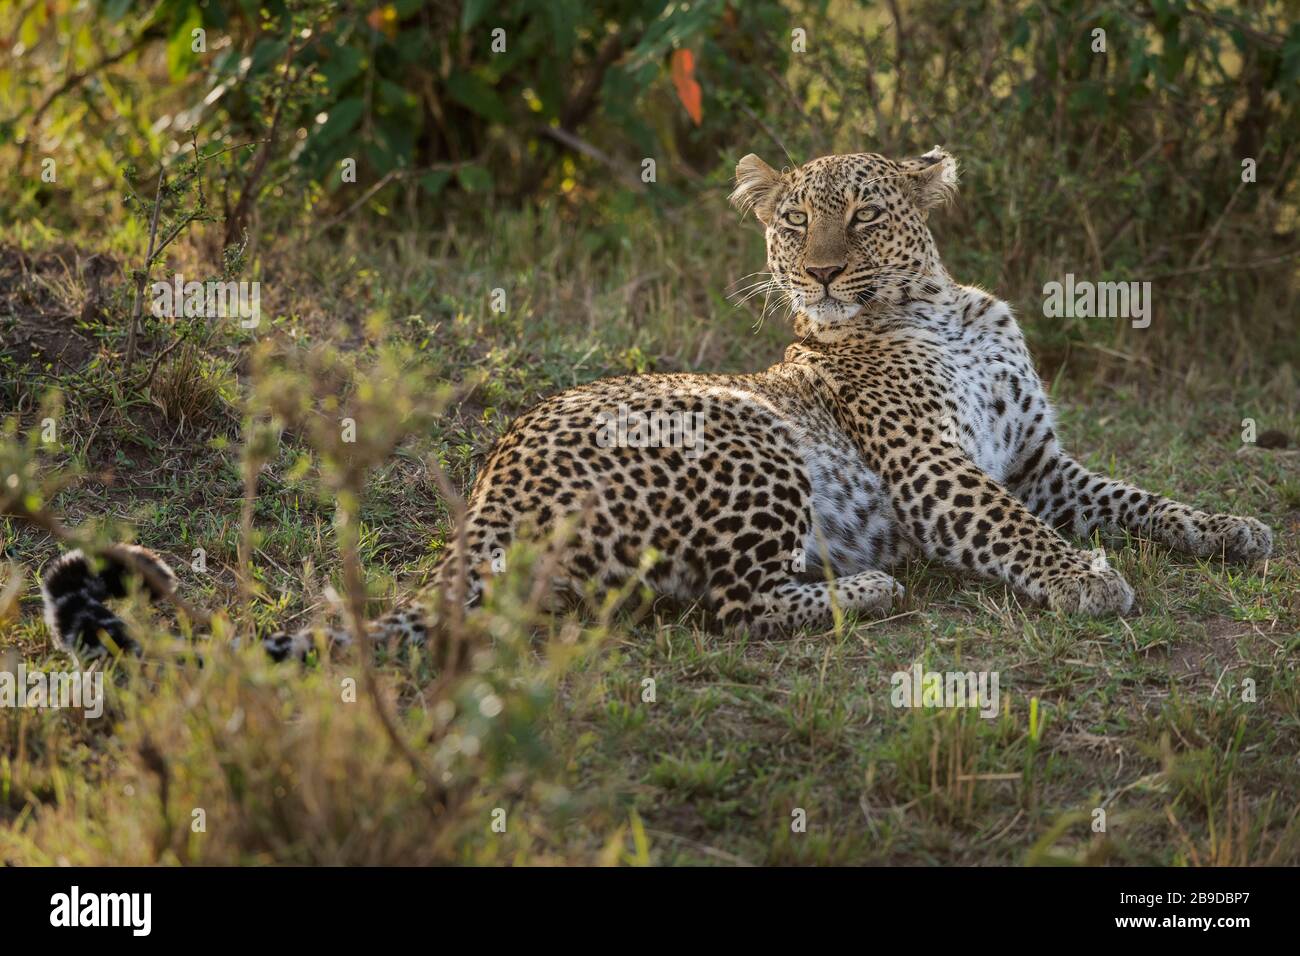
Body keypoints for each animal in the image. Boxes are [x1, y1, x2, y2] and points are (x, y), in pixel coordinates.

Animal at [38, 147, 1268, 665]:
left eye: (862, 216)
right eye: (792, 221)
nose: (821, 273)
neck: (939, 302)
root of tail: (484, 499)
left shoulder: (1038, 460)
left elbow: (1139, 497)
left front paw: (1229, 528)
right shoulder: (936, 468)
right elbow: (1016, 533)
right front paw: (1088, 582)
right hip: (745, 433)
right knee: (724, 607)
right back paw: (867, 588)